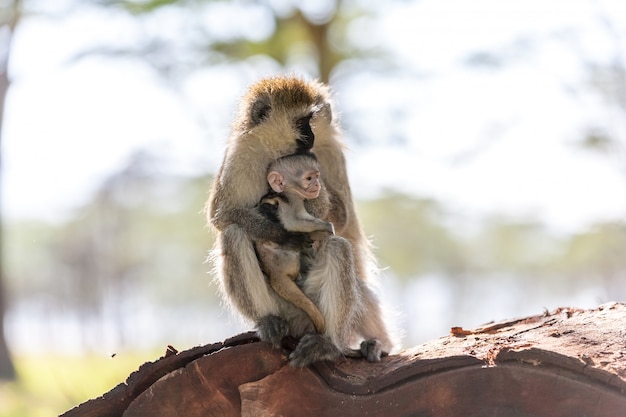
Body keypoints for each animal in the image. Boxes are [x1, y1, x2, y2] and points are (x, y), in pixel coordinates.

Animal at [252, 151, 334, 334]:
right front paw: (327, 226)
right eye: (309, 178)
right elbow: (293, 222)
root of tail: (274, 272)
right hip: (285, 259)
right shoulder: (292, 200)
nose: (317, 183)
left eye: (316, 176)